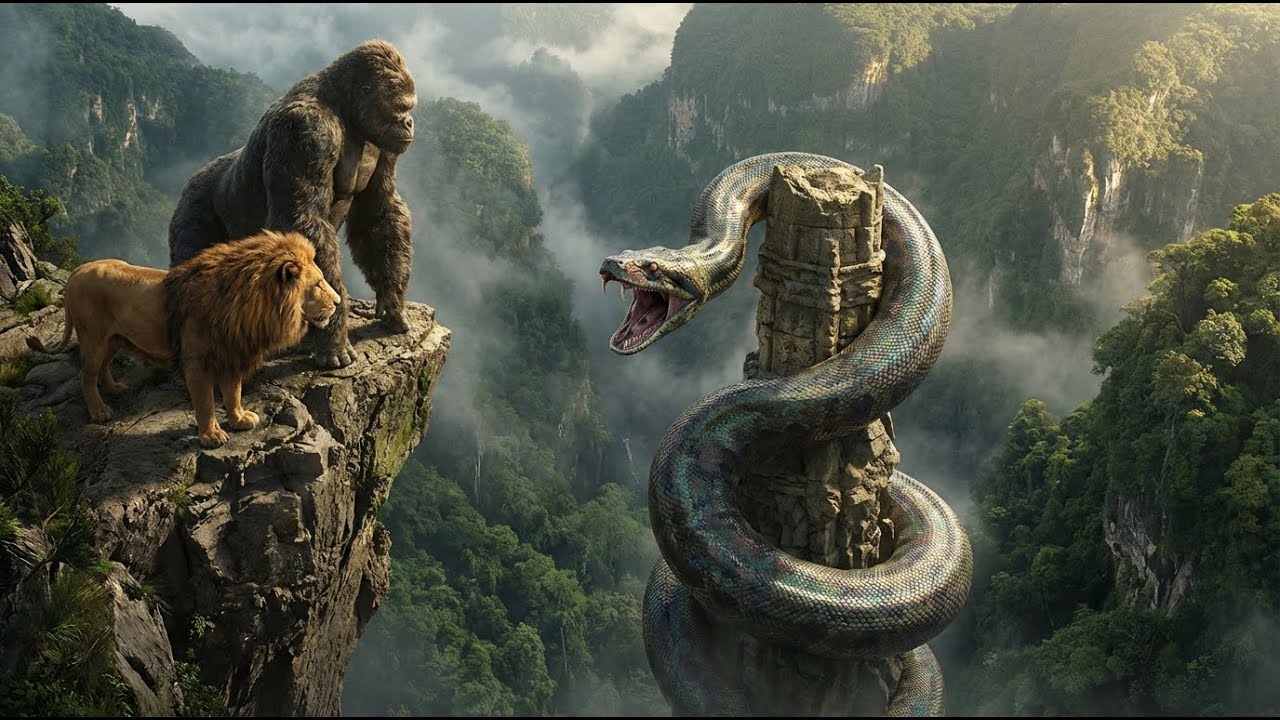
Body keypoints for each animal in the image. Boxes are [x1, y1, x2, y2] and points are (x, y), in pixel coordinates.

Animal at [26, 230, 341, 448]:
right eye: (318, 284)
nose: (338, 302)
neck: (251, 306)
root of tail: (75, 274)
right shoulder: (198, 364)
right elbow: (205, 403)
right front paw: (211, 436)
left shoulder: (231, 354)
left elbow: (233, 393)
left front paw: (240, 419)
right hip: (94, 338)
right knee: (86, 375)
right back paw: (100, 411)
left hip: (114, 339)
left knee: (103, 368)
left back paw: (116, 389)